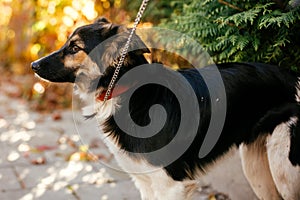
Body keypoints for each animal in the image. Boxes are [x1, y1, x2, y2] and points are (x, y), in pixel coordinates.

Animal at [31, 18, 300, 199]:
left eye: (74, 48)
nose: (33, 64)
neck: (127, 90)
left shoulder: (171, 184)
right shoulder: (146, 182)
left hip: (284, 168)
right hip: (256, 167)